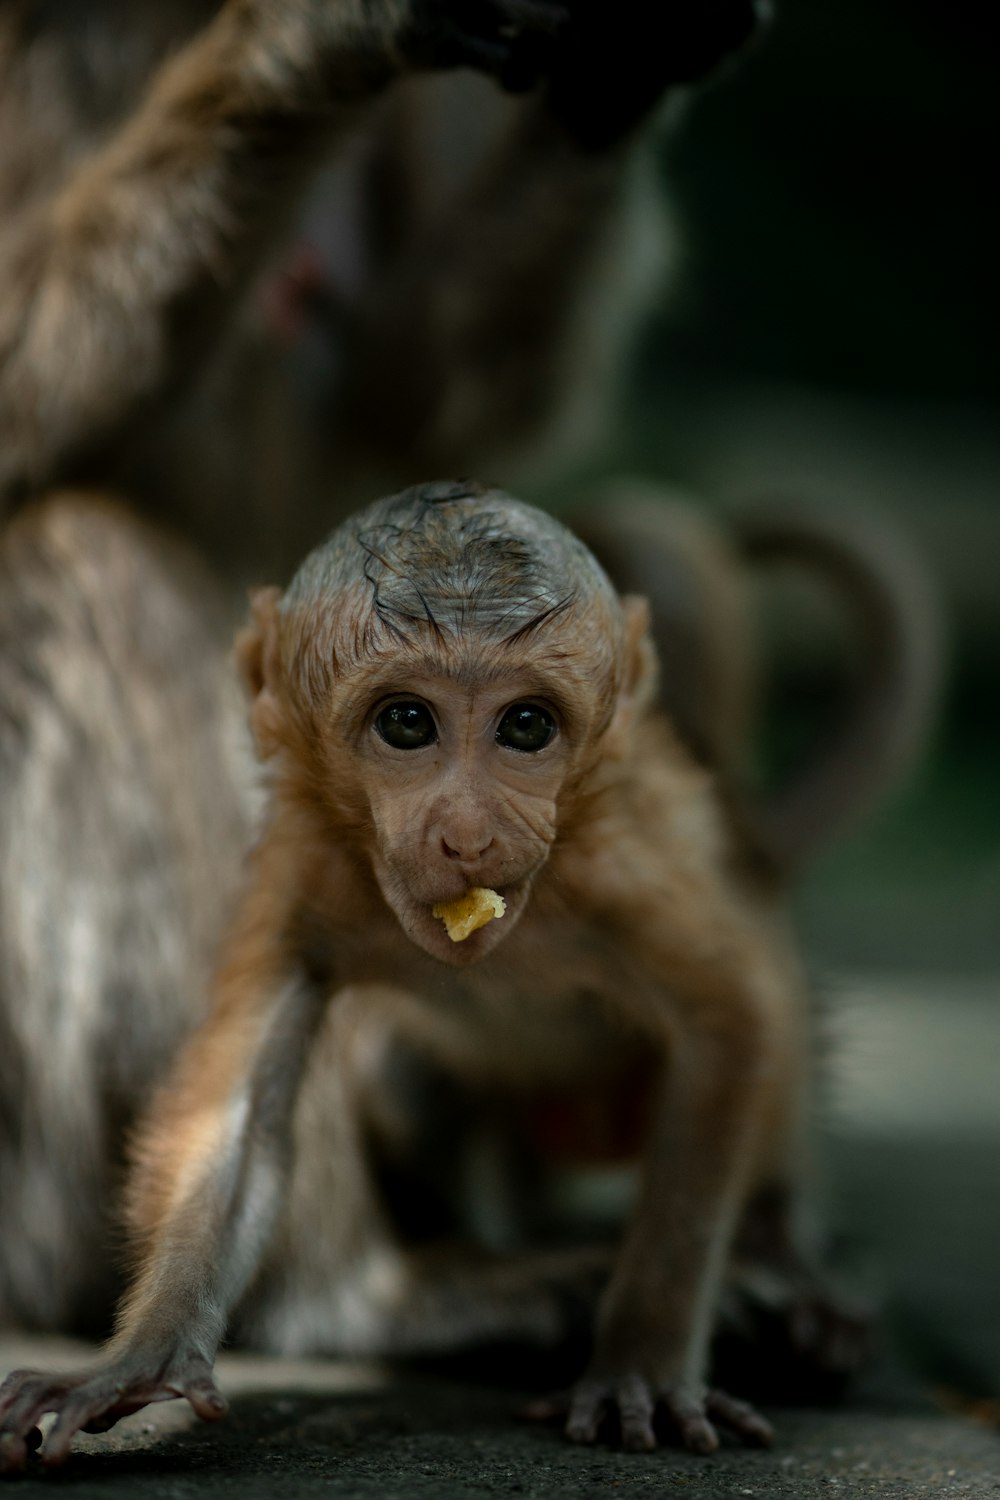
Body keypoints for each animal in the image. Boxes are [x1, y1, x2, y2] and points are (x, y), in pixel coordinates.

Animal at [1, 480, 815, 1464]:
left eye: (527, 726)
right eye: (406, 722)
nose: (467, 834)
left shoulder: (622, 874)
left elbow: (729, 1022)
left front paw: (643, 1366)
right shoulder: (305, 879)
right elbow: (243, 1126)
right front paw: (140, 1361)